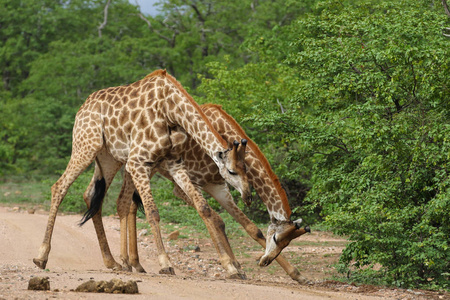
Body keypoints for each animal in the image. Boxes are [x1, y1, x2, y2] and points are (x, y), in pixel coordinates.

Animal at [34, 69, 253, 276]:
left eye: (246, 169)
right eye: (232, 171)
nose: (248, 196)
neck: (170, 109)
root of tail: (83, 106)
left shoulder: (174, 163)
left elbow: (203, 207)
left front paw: (231, 268)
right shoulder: (137, 161)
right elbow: (152, 211)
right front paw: (165, 263)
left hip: (108, 157)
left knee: (91, 195)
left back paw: (112, 262)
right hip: (85, 146)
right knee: (59, 187)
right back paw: (41, 256)